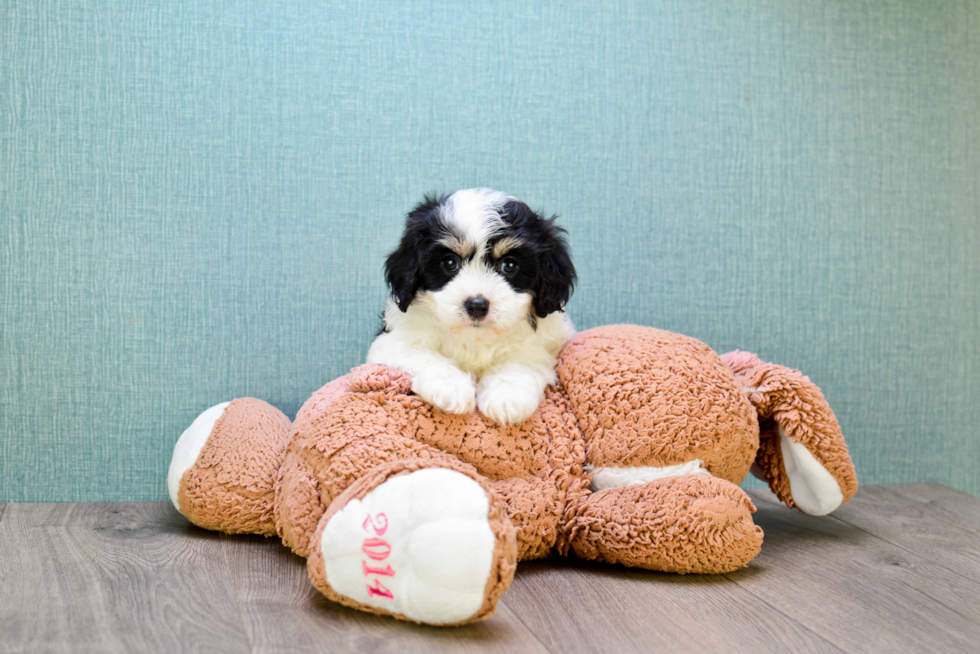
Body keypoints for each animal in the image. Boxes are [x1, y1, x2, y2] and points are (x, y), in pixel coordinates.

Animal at [372, 187, 580, 428]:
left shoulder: (543, 345)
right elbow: (421, 355)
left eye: (509, 265)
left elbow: (522, 359)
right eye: (450, 263)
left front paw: (507, 395)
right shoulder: (392, 341)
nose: (477, 305)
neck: (475, 337)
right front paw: (451, 387)